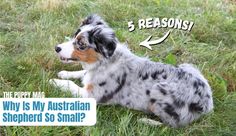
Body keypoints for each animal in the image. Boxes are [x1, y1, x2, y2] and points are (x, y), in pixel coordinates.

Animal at [49, 14, 214, 127]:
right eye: (74, 36)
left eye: (81, 44)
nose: (57, 48)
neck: (103, 62)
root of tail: (208, 102)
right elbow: (80, 73)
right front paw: (64, 73)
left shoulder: (92, 96)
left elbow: (71, 85)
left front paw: (54, 81)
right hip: (188, 66)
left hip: (158, 90)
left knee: (173, 125)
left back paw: (146, 121)